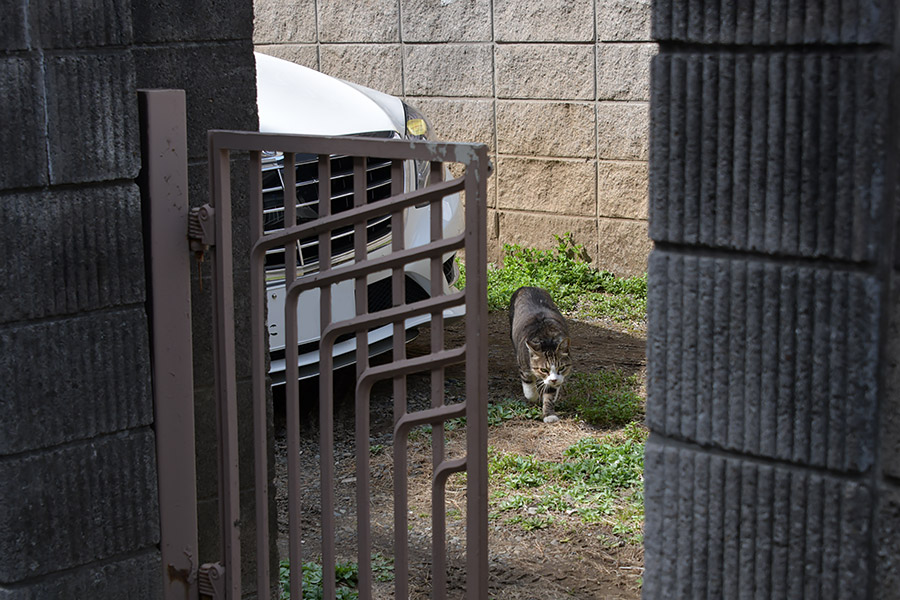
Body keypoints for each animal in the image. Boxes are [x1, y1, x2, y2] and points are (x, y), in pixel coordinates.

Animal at [510, 288, 572, 424]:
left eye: (561, 368)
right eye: (543, 369)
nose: (554, 380)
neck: (547, 338)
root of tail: (527, 286)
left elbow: (550, 394)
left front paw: (549, 414)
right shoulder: (523, 364)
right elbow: (529, 389)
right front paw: (535, 396)